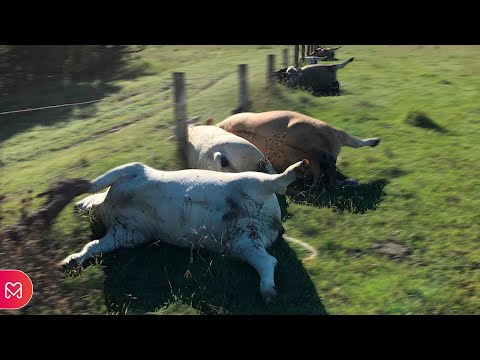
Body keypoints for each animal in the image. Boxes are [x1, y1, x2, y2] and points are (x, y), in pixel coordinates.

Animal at [60, 159, 310, 302]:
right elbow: (93, 246)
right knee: (268, 261)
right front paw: (70, 262)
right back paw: (268, 292)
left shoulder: (133, 170)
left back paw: (298, 168)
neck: (109, 205)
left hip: (251, 182)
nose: (76, 208)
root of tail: (273, 221)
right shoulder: (127, 234)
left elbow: (96, 182)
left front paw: (72, 187)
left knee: (275, 181)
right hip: (243, 242)